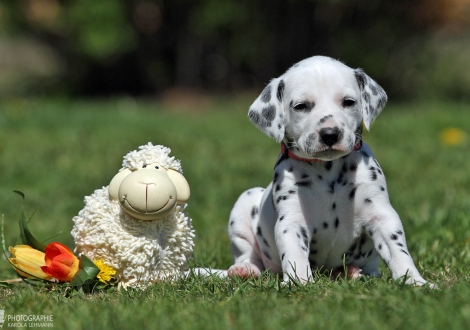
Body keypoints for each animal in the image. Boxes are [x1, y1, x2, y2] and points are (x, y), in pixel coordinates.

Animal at [228, 55, 430, 284]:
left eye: (348, 102)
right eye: (301, 106)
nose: (330, 134)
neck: (327, 170)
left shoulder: (381, 214)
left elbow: (398, 250)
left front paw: (414, 281)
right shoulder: (291, 220)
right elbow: (295, 254)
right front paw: (299, 282)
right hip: (244, 204)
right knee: (248, 254)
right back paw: (244, 269)